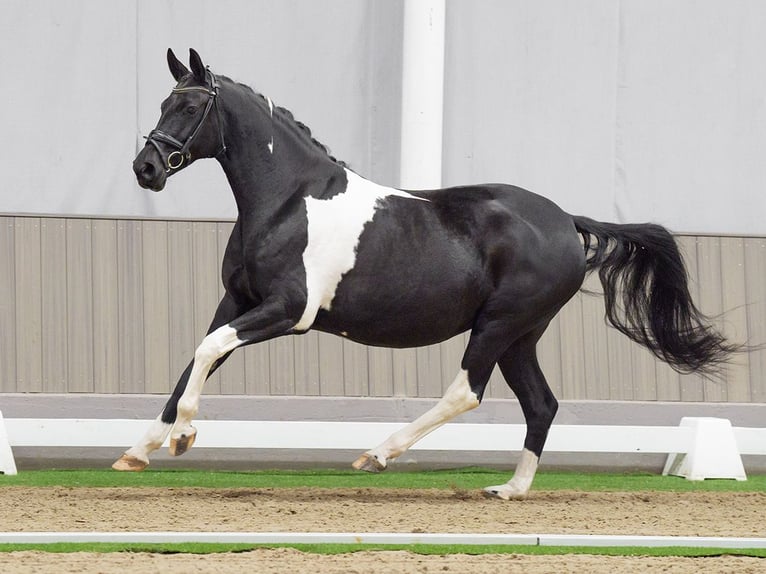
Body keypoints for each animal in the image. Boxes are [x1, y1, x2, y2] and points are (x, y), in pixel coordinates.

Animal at [117, 48, 740, 500]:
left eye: (190, 108)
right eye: (165, 101)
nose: (146, 168)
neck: (289, 201)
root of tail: (567, 222)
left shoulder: (289, 311)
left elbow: (206, 353)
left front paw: (185, 437)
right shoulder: (236, 301)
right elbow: (195, 360)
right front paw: (140, 451)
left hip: (498, 325)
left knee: (466, 392)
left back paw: (377, 454)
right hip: (521, 337)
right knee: (541, 405)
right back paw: (509, 490)